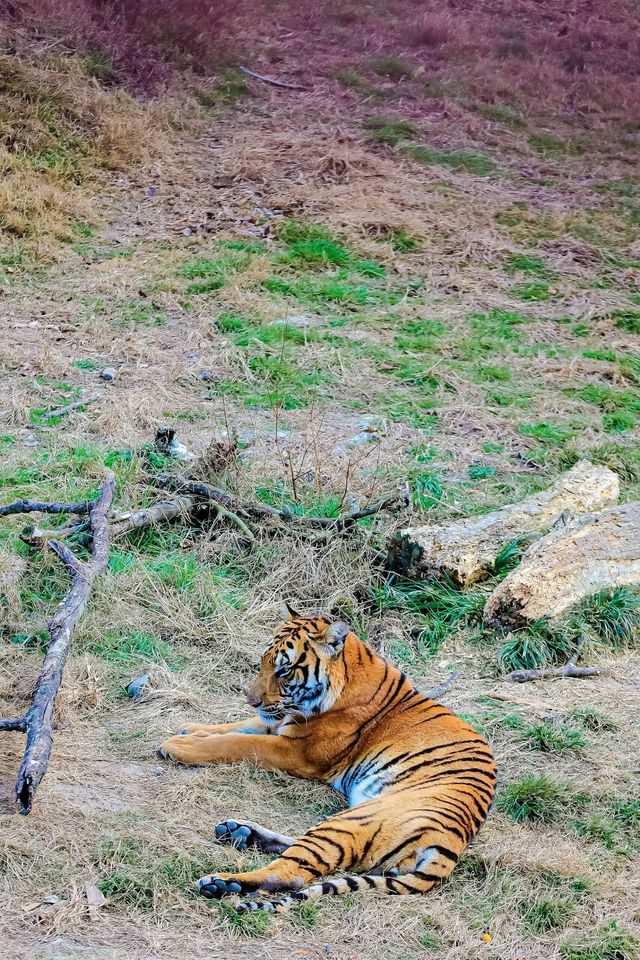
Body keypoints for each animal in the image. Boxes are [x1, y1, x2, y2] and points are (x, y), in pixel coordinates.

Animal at [158, 604, 498, 912]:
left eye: (284, 670)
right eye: (262, 662)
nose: (251, 700)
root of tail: (450, 845)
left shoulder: (296, 750)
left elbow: (237, 742)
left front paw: (177, 745)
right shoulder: (280, 722)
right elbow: (236, 727)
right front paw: (189, 730)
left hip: (356, 819)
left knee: (294, 871)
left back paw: (223, 881)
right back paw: (239, 832)